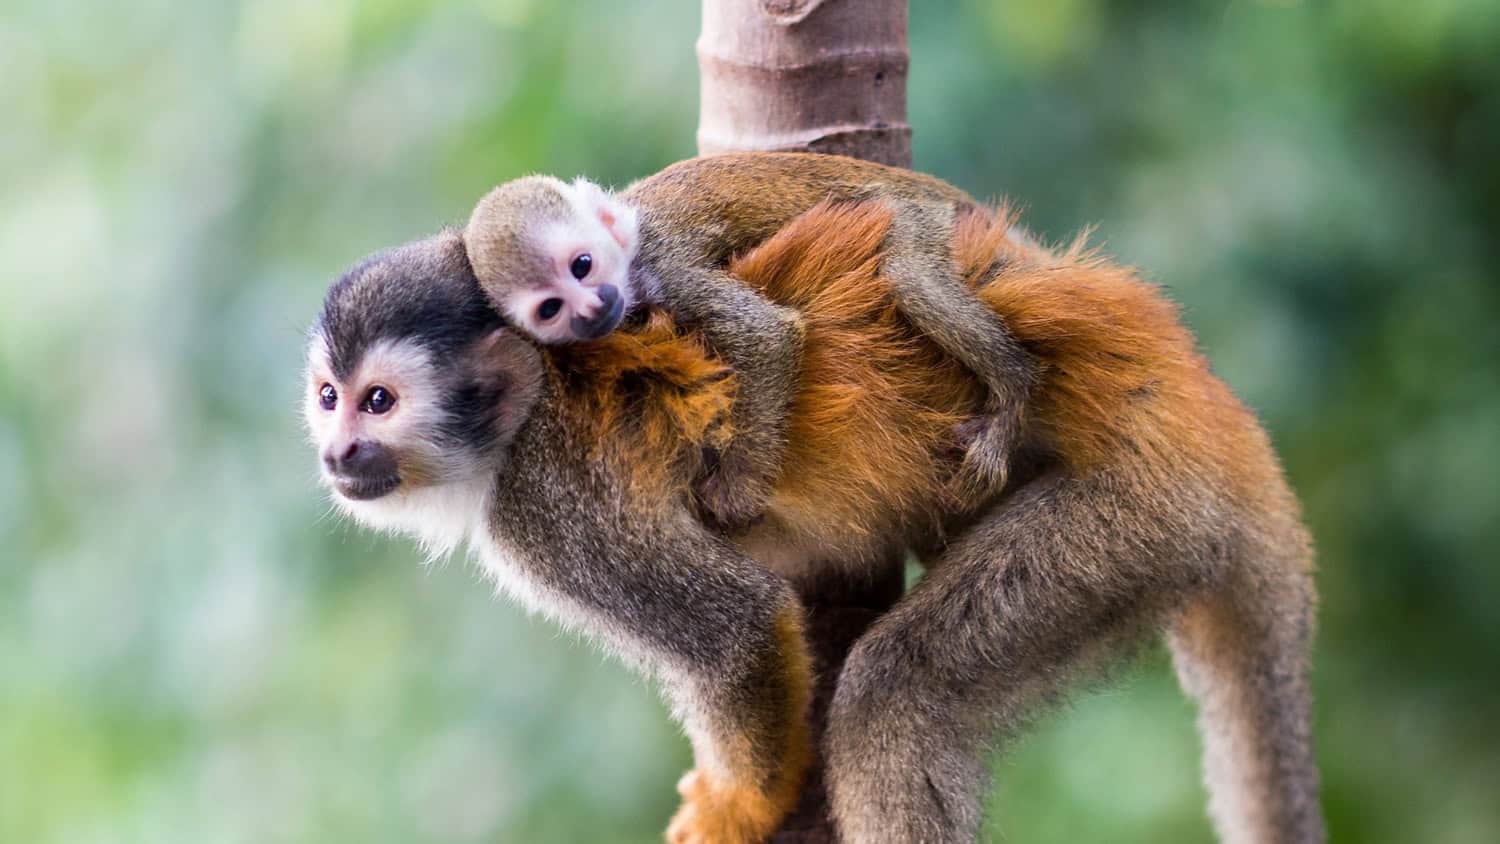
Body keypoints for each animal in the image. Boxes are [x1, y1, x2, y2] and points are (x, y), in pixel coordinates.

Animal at [306, 200, 1322, 844]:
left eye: (378, 402)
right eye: (327, 398)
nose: (336, 453)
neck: (521, 419)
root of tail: (1190, 390)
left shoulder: (547, 512)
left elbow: (738, 629)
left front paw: (739, 808)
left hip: (1134, 516)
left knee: (895, 694)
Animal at [463, 152, 1037, 528]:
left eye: (582, 265)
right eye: (551, 308)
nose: (593, 309)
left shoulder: (667, 269)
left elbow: (767, 335)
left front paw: (739, 491)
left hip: (922, 216)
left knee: (909, 275)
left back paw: (1013, 393)